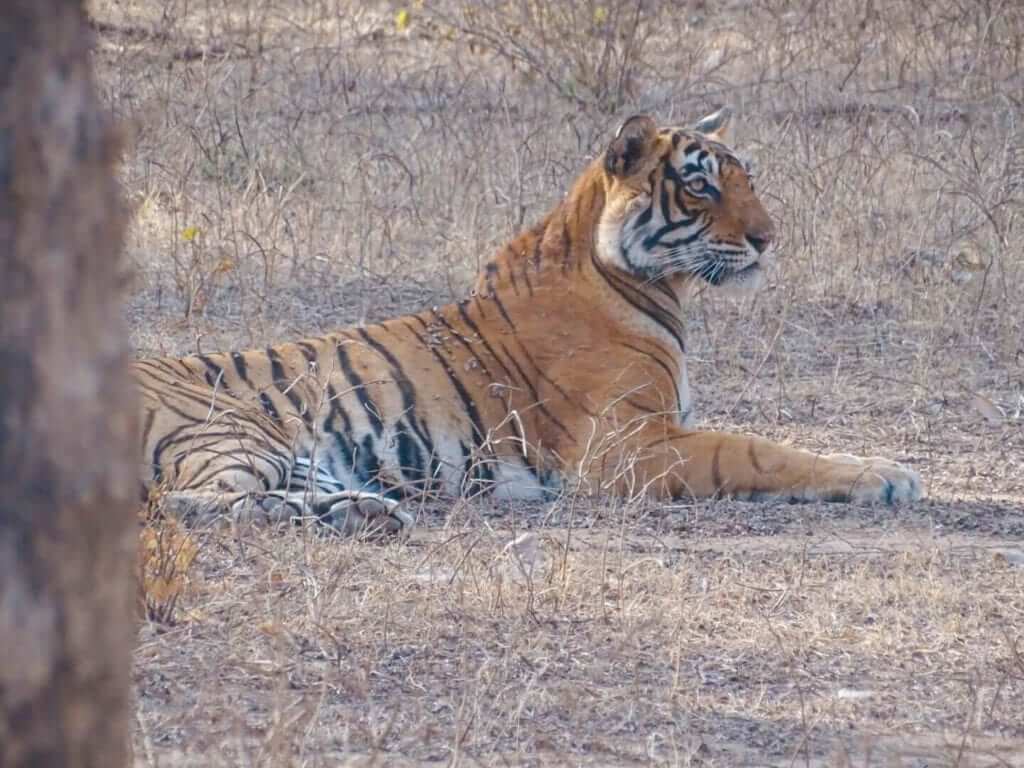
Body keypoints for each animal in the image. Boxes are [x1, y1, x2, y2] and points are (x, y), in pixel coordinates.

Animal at [132, 108, 925, 536]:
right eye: (701, 185)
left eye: (747, 178)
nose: (768, 238)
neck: (645, 283)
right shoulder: (627, 447)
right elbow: (760, 451)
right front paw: (888, 475)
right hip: (234, 430)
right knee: (188, 503)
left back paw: (369, 512)